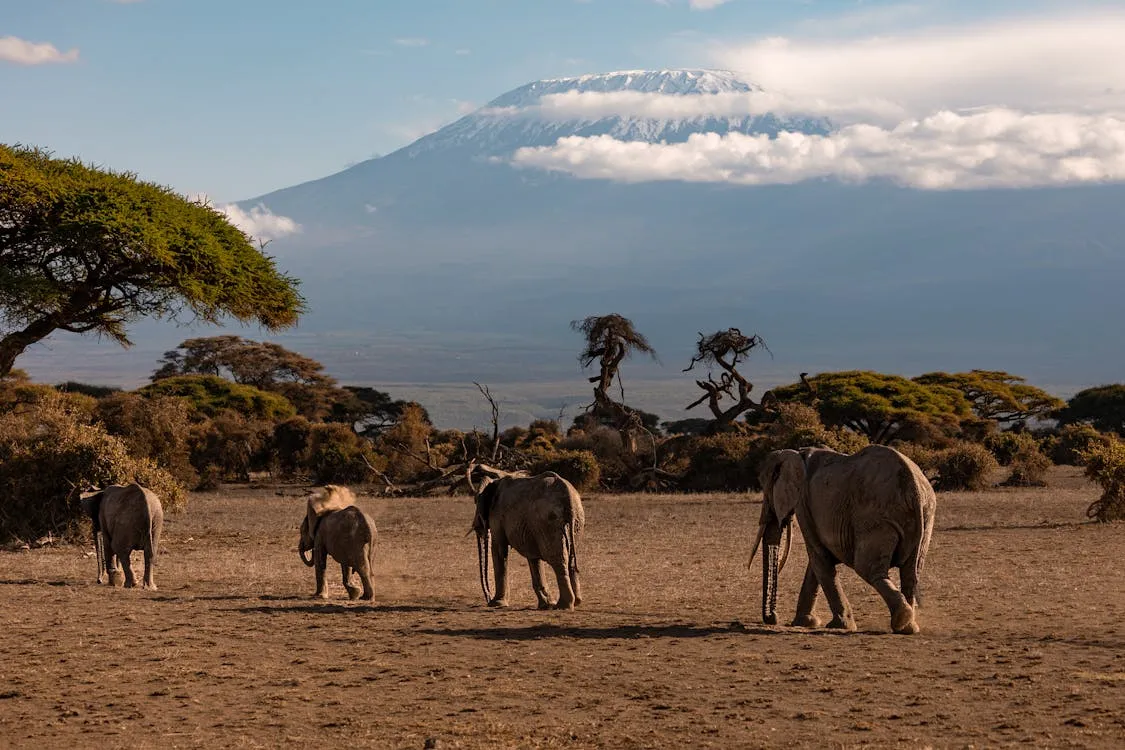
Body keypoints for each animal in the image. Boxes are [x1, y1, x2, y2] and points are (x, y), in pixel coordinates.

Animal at [470, 472, 585, 611]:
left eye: (475, 501)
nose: (488, 598)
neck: (494, 482)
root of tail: (568, 496)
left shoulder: (497, 515)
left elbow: (499, 549)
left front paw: (496, 604)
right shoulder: (530, 528)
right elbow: (533, 556)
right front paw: (546, 605)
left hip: (549, 522)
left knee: (557, 559)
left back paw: (563, 606)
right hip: (575, 522)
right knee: (570, 558)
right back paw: (576, 602)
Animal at [747, 445, 940, 634]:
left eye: (766, 490)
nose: (773, 617)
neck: (795, 453)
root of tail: (914, 487)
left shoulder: (803, 503)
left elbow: (818, 557)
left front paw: (839, 626)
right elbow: (816, 562)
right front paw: (806, 623)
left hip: (876, 518)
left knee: (868, 568)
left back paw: (902, 618)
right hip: (925, 516)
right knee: (911, 572)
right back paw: (908, 627)